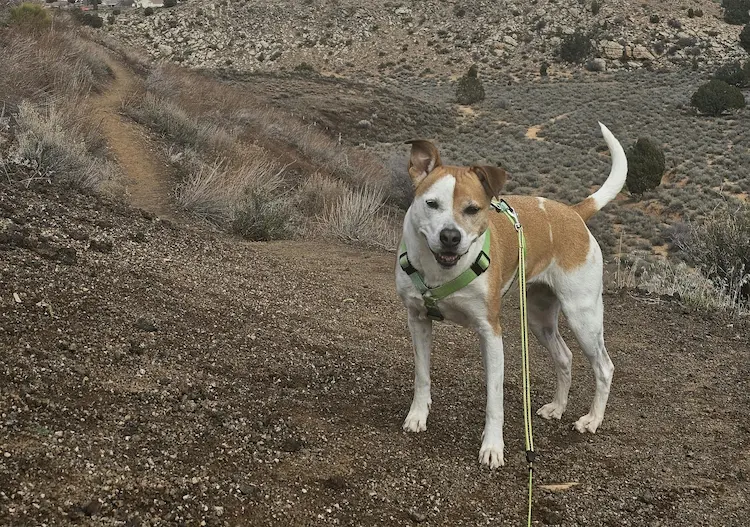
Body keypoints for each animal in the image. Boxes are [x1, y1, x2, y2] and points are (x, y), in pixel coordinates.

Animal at [400, 121, 628, 468]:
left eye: (472, 209)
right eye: (431, 203)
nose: (451, 237)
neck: (441, 271)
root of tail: (573, 212)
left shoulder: (491, 333)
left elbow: (495, 400)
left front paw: (493, 447)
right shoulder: (418, 320)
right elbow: (422, 375)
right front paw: (417, 416)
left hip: (583, 317)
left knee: (604, 367)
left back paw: (591, 420)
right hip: (539, 317)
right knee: (565, 356)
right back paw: (557, 407)